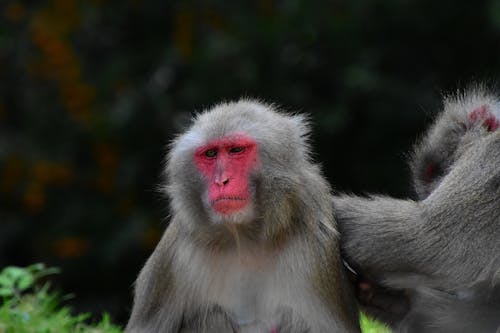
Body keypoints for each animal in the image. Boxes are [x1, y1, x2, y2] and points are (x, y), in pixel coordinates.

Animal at [124, 99, 360, 332]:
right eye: (211, 154)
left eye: (236, 150)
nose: (221, 181)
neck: (243, 235)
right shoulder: (174, 256)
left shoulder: (314, 243)